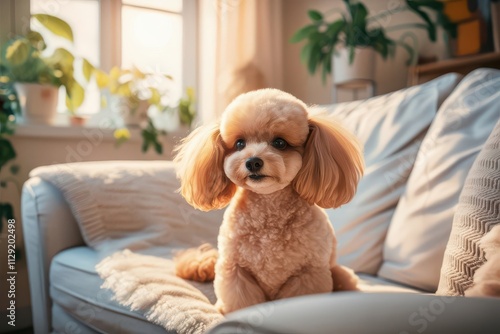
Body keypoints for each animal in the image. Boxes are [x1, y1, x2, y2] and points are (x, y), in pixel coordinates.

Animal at [175, 88, 364, 314]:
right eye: (240, 143)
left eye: (280, 143)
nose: (253, 162)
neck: (269, 209)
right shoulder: (235, 269)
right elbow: (240, 302)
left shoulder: (308, 273)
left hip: (338, 273)